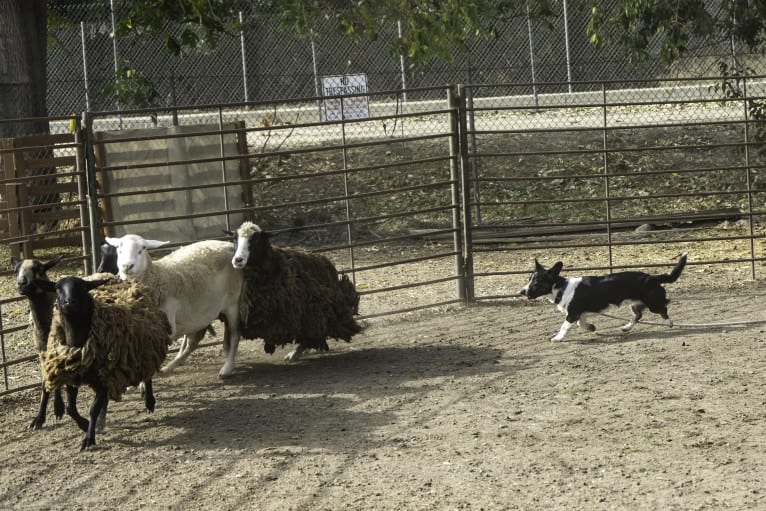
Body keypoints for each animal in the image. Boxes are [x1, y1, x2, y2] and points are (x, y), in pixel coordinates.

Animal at [105, 234, 243, 378]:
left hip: (233, 303)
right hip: (196, 314)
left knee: (234, 334)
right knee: (192, 342)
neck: (157, 277)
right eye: (118, 248)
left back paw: (227, 367)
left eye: (142, 248)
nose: (127, 266)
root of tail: (227, 244)